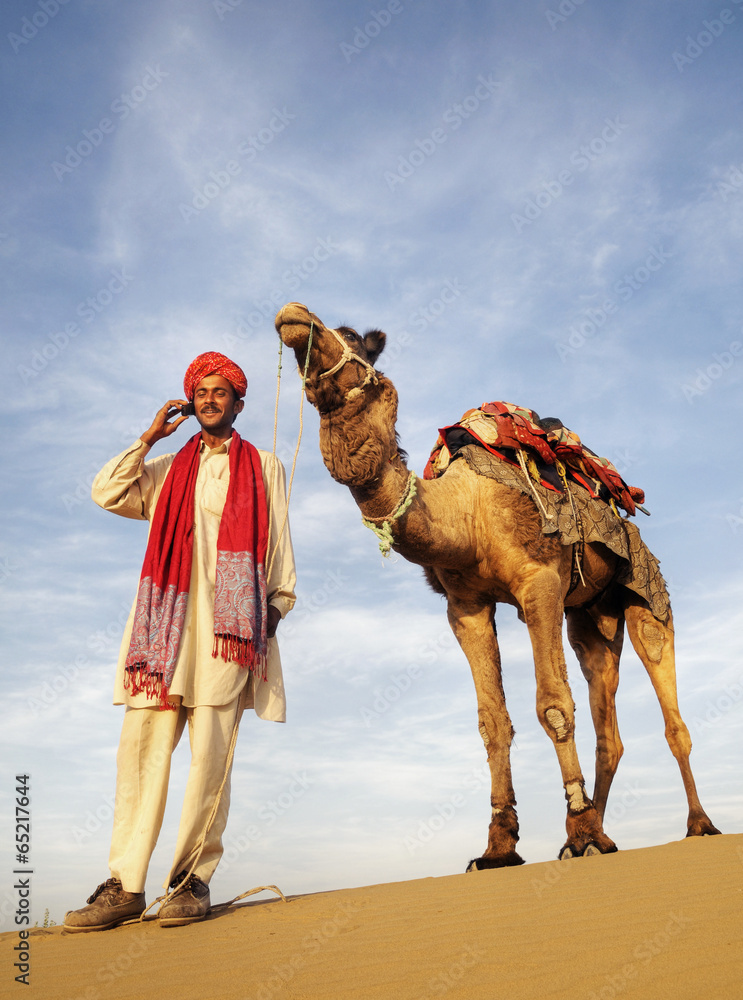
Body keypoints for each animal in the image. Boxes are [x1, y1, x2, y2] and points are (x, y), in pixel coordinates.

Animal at [274, 298, 720, 868]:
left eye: (351, 336)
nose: (293, 314)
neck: (468, 513)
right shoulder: (466, 606)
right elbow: (492, 722)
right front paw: (499, 846)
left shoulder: (539, 584)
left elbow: (553, 705)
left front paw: (575, 831)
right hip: (589, 616)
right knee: (608, 722)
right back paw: (600, 837)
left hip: (645, 593)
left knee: (671, 713)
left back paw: (695, 825)